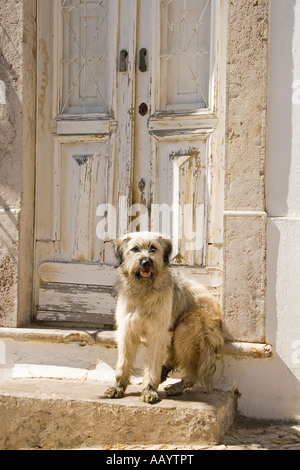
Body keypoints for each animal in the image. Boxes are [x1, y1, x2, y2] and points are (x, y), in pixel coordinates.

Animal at [104, 231, 224, 404]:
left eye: (153, 248)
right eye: (135, 249)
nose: (146, 262)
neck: (144, 292)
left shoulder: (157, 333)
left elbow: (152, 363)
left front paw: (149, 389)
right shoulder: (127, 331)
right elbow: (123, 363)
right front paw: (118, 387)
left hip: (187, 328)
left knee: (192, 373)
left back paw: (176, 386)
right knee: (175, 358)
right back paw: (164, 372)